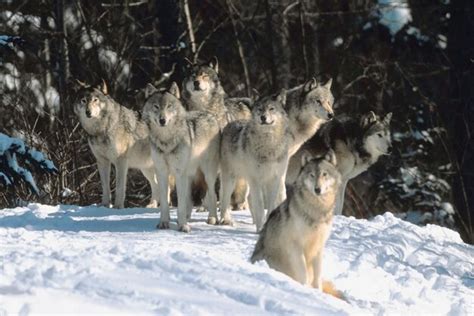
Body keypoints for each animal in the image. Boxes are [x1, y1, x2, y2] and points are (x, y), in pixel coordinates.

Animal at [73, 80, 160, 209]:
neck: (101, 130)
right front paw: (104, 206)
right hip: (146, 169)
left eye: (95, 100)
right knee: (157, 185)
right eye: (83, 100)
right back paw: (153, 205)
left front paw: (118, 207)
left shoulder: (121, 161)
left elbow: (119, 187)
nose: (88, 112)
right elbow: (105, 187)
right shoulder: (102, 161)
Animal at [143, 82, 220, 233]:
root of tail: (209, 115)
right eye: (156, 106)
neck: (166, 141)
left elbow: (181, 202)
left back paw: (212, 219)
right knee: (189, 197)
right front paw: (164, 223)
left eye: (169, 106)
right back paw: (186, 217)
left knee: (212, 194)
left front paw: (183, 226)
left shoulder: (179, 173)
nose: (162, 120)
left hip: (207, 173)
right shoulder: (162, 172)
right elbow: (165, 202)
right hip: (189, 174)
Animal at [218, 90, 288, 231]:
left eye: (271, 109)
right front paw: (260, 229)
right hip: (231, 179)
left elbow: (270, 206)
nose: (263, 117)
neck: (269, 146)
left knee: (247, 198)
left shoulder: (274, 180)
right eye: (260, 109)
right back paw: (225, 220)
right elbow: (260, 207)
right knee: (224, 198)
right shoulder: (256, 180)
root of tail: (231, 123)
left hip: (246, 181)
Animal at [250, 152, 342, 298]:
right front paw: (305, 288)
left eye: (324, 174)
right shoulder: (295, 245)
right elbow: (303, 272)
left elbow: (317, 276)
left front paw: (317, 291)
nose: (317, 189)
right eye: (311, 175)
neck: (316, 211)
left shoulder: (319, 247)